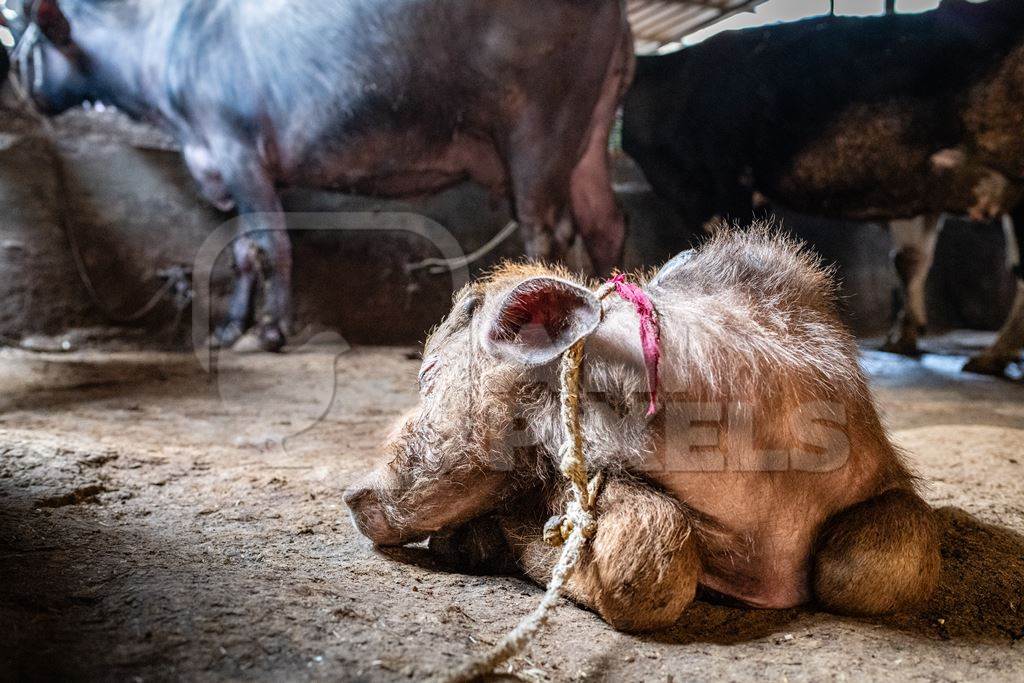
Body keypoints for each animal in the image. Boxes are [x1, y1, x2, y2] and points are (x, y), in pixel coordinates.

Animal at [19, 0, 634, 350]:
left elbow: (272, 245)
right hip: (589, 135)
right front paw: (231, 327)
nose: (22, 89)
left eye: (25, 51)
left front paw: (271, 331)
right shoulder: (224, 165)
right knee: (605, 223)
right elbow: (242, 251)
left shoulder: (237, 150)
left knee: (546, 229)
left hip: (539, 125)